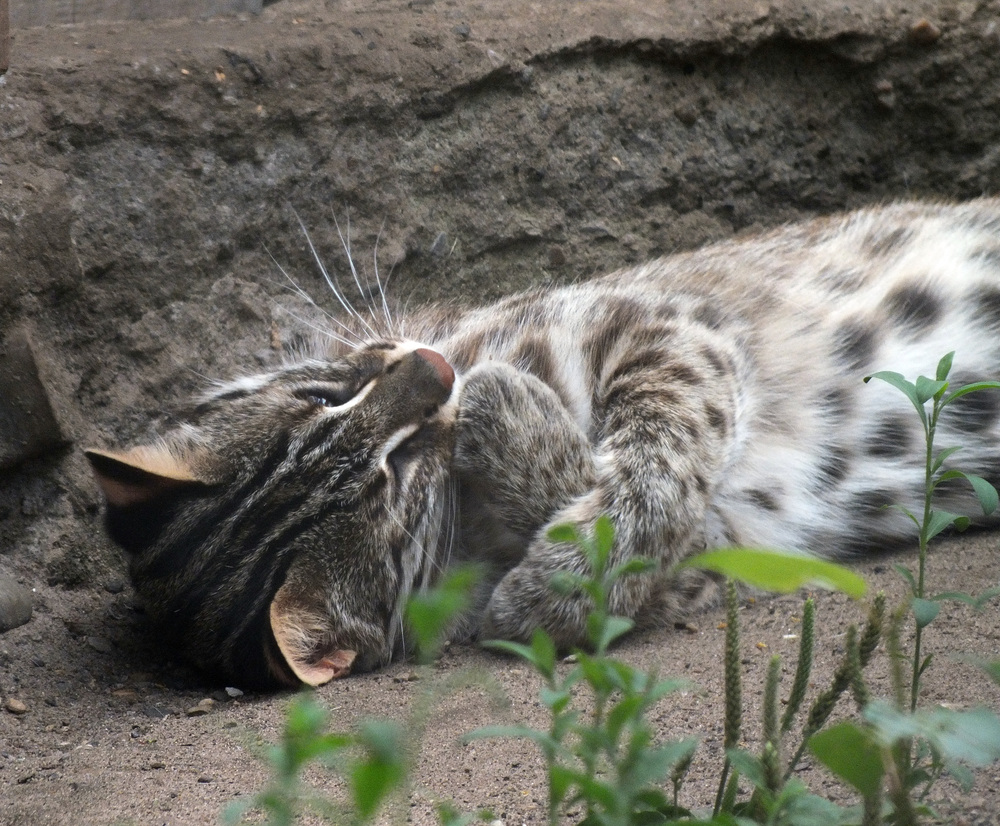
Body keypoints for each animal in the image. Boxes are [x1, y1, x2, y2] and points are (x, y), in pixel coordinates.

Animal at [84, 200, 1000, 688]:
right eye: (394, 478)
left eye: (326, 391)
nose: (433, 366)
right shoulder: (717, 551)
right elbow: (652, 523)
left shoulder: (663, 320)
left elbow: (657, 460)